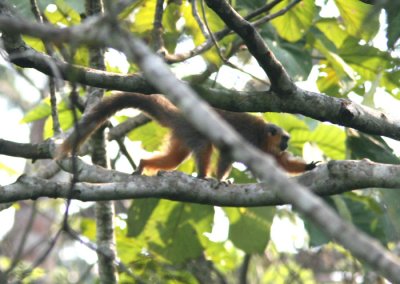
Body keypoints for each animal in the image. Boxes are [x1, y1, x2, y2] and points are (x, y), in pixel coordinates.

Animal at [57, 92, 318, 179]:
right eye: (284, 139)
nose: (286, 145)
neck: (264, 138)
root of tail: (182, 116)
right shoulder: (250, 138)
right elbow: (226, 153)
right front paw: (219, 180)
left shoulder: (267, 150)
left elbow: (281, 163)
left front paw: (307, 167)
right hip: (193, 131)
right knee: (204, 146)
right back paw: (202, 177)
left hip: (182, 136)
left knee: (175, 158)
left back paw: (143, 163)